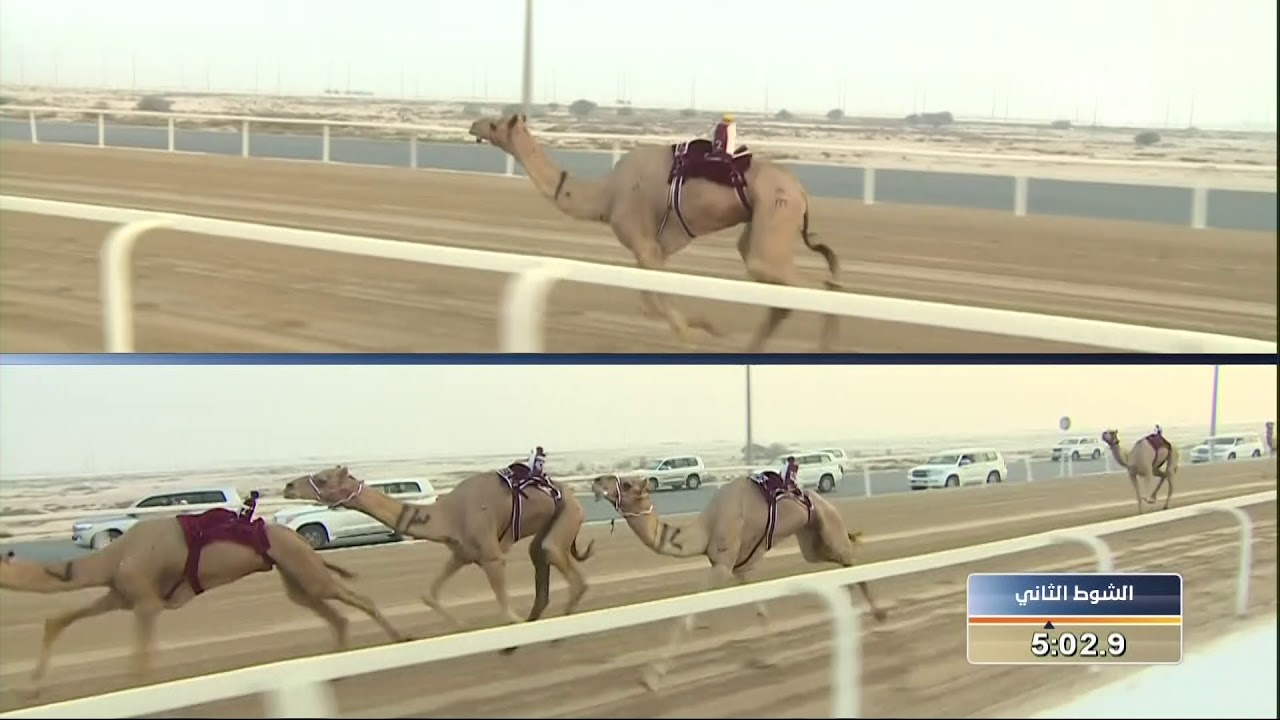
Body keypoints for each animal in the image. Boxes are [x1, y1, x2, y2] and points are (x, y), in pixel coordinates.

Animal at [0, 495, 405, 688]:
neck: (112, 557)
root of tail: (296, 537)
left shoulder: (146, 603)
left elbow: (140, 665)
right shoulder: (123, 596)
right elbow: (59, 619)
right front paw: (34, 686)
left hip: (304, 567)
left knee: (355, 599)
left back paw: (400, 638)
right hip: (296, 576)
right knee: (331, 613)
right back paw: (338, 667)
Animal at [283, 464, 596, 649]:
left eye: (322, 479)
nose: (288, 487)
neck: (446, 514)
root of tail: (571, 494)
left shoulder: (491, 555)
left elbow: (507, 613)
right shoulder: (462, 553)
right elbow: (429, 595)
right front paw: (462, 627)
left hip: (567, 515)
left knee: (564, 566)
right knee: (540, 562)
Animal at [468, 114, 843, 352]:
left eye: (495, 123)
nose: (473, 124)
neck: (606, 195)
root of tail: (801, 193)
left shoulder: (642, 242)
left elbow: (658, 302)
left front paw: (697, 333)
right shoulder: (654, 250)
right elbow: (650, 301)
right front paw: (705, 328)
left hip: (775, 215)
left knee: (813, 287)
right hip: (761, 227)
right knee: (783, 291)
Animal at [591, 472, 887, 691]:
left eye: (627, 484)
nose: (597, 481)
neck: (704, 531)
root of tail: (826, 503)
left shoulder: (722, 566)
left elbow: (688, 616)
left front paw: (652, 677)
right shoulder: (741, 569)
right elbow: (761, 609)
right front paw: (773, 656)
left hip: (828, 527)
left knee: (849, 557)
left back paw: (880, 615)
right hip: (812, 545)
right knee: (841, 562)